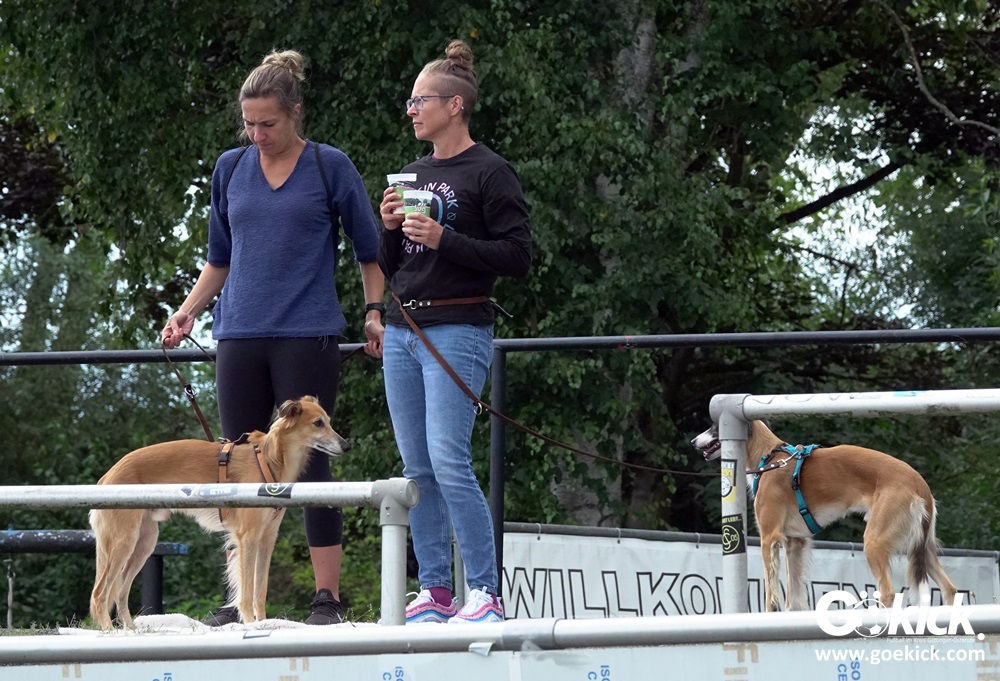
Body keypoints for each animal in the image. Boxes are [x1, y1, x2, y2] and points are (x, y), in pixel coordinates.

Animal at [89, 396, 349, 630]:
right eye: (318, 423)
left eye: (328, 421)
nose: (347, 446)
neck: (268, 460)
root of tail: (108, 475)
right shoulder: (248, 537)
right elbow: (246, 591)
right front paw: (250, 624)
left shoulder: (266, 539)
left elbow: (260, 590)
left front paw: (264, 622)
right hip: (124, 542)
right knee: (100, 592)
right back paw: (109, 632)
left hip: (144, 543)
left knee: (120, 591)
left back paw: (131, 631)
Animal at [692, 419, 957, 611]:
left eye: (714, 426)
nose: (693, 441)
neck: (770, 458)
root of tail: (919, 484)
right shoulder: (795, 542)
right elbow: (794, 597)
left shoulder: (770, 538)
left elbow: (771, 595)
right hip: (922, 548)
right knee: (950, 589)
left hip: (875, 541)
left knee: (889, 592)